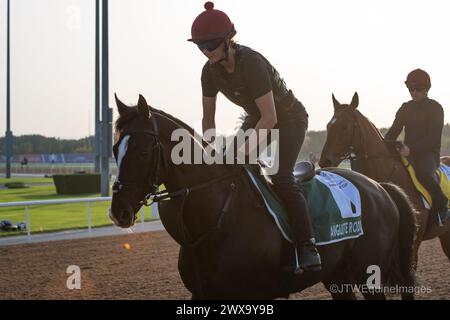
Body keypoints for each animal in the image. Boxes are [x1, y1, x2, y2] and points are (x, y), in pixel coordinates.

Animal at [110, 94, 418, 298]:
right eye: (115, 149)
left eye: (142, 151)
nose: (118, 210)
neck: (219, 218)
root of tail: (380, 187)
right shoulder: (204, 295)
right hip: (337, 277)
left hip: (369, 275)